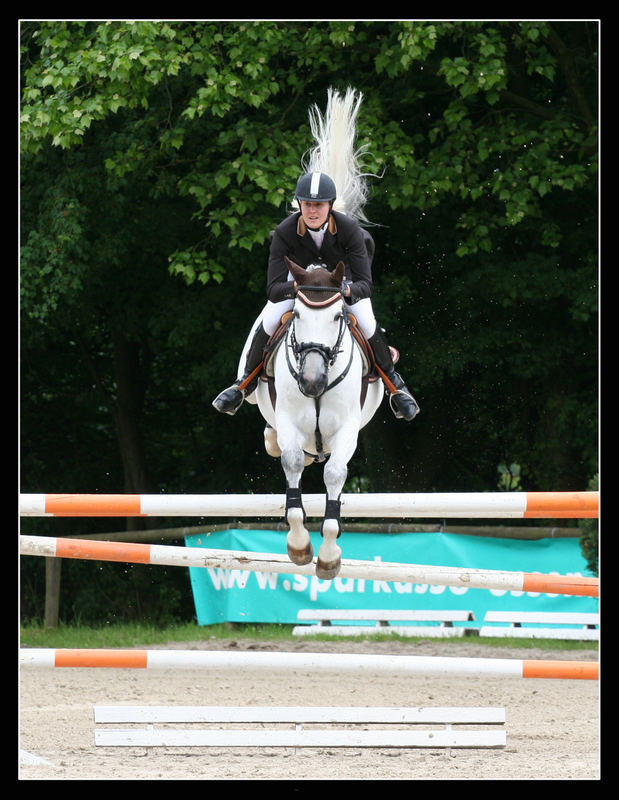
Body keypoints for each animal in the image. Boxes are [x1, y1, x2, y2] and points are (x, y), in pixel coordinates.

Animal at [245, 256, 386, 576]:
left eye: (337, 317)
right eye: (296, 314)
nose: (311, 382)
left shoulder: (347, 429)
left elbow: (334, 473)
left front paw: (329, 557)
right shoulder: (289, 423)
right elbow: (292, 461)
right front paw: (299, 545)